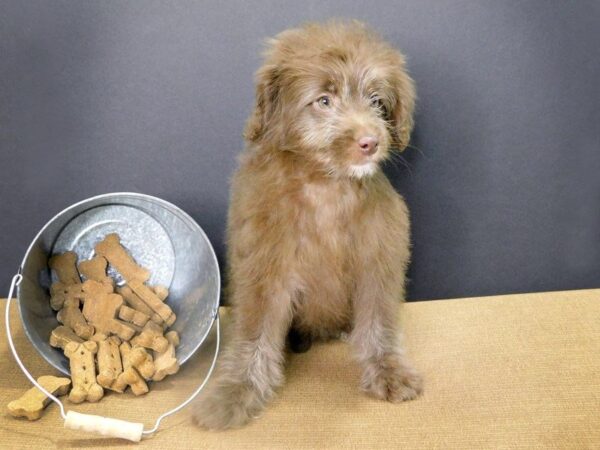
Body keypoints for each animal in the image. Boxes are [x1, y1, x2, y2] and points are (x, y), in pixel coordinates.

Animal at [195, 20, 420, 428]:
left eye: (376, 101)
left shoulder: (378, 259)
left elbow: (379, 321)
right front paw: (237, 391)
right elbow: (254, 334)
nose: (370, 142)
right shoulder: (262, 268)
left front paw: (388, 370)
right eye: (324, 101)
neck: (325, 185)